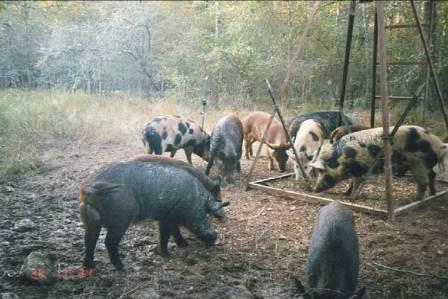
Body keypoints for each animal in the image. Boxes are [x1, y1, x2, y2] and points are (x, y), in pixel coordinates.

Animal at [79, 157, 229, 272]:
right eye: (205, 214)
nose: (215, 238)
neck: (193, 197)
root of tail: (90, 187)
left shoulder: (167, 217)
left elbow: (172, 232)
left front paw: (183, 245)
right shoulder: (168, 217)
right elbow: (166, 234)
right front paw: (168, 255)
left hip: (89, 217)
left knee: (89, 240)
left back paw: (89, 266)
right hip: (120, 219)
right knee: (108, 242)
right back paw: (123, 268)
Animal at [308, 125, 448, 200]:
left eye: (321, 171)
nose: (314, 189)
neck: (341, 158)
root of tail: (439, 145)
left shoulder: (361, 168)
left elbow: (356, 183)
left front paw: (351, 197)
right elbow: (352, 183)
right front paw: (345, 193)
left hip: (418, 163)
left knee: (423, 181)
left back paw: (416, 199)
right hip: (425, 165)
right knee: (432, 176)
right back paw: (432, 194)